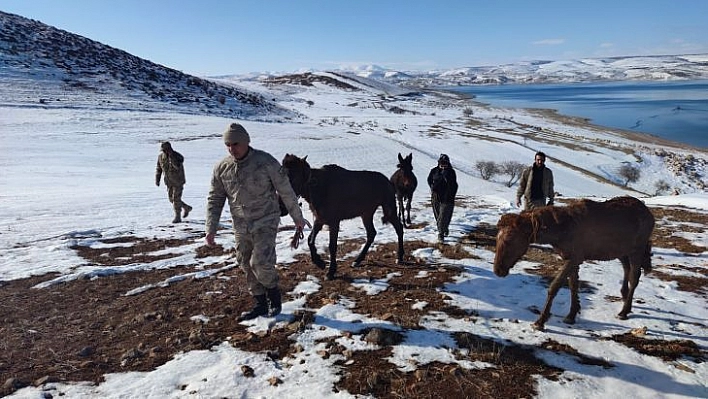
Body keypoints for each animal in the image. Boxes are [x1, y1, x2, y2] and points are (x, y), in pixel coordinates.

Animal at [280, 154, 404, 282]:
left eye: (294, 178)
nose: (282, 208)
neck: (317, 189)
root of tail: (389, 182)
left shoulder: (334, 221)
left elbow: (332, 246)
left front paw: (331, 272)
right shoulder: (320, 219)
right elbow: (310, 240)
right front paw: (320, 263)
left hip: (389, 209)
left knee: (399, 228)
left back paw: (399, 257)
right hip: (366, 213)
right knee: (371, 233)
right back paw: (357, 260)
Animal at [492, 197, 652, 332]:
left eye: (509, 239)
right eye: (497, 238)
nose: (498, 270)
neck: (561, 229)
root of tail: (649, 213)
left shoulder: (575, 258)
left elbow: (555, 286)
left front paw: (541, 321)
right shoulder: (571, 258)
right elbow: (573, 286)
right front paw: (571, 315)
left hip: (637, 250)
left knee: (634, 277)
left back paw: (624, 311)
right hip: (622, 252)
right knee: (626, 269)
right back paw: (624, 298)